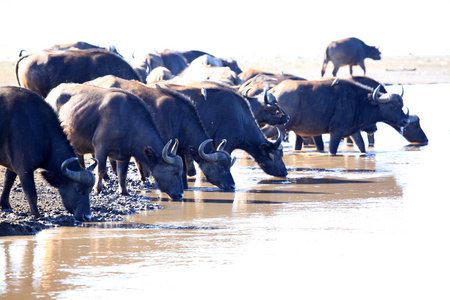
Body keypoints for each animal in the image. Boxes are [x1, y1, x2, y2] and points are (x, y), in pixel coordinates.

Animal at [0, 86, 96, 220]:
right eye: (78, 189)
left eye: (90, 190)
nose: (87, 217)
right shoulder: (24, 168)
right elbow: (31, 193)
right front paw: (36, 215)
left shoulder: (13, 166)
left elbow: (8, 181)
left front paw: (5, 206)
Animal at [45, 82, 185, 199]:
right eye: (173, 172)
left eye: (181, 171)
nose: (180, 195)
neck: (128, 120)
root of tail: (50, 94)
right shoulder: (101, 147)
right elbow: (101, 169)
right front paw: (98, 189)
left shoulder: (125, 155)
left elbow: (122, 174)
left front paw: (124, 191)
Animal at [87, 75, 236, 190]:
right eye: (221, 168)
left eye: (229, 167)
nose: (232, 186)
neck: (179, 118)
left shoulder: (179, 149)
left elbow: (183, 171)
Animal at [270, 77, 412, 155]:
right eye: (393, 106)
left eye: (401, 105)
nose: (406, 121)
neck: (358, 101)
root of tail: (274, 91)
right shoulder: (337, 130)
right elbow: (332, 149)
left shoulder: (354, 131)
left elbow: (362, 146)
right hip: (279, 126)